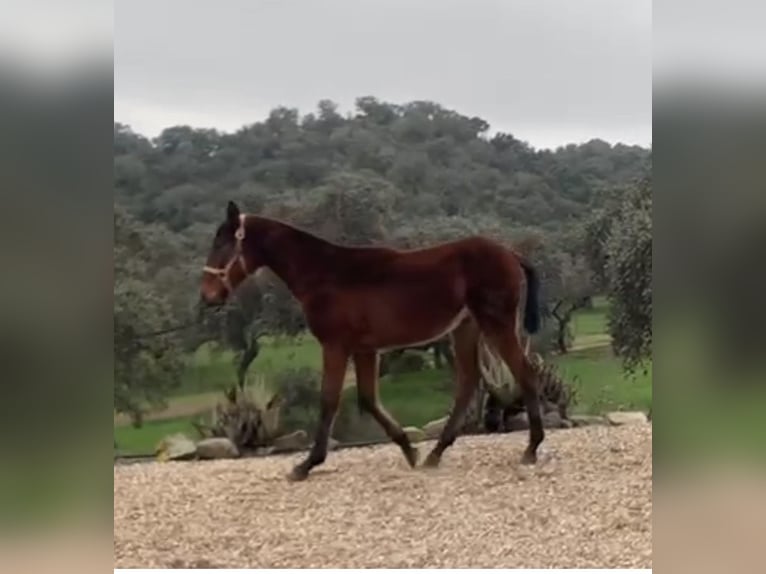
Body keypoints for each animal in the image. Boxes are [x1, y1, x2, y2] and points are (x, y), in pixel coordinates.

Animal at [200, 201, 543, 481]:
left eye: (223, 243)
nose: (207, 296)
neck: (325, 274)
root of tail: (510, 253)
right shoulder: (365, 350)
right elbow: (367, 398)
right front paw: (410, 450)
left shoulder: (335, 346)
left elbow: (329, 400)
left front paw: (306, 464)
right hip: (466, 328)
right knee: (469, 381)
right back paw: (435, 454)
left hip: (496, 324)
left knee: (523, 373)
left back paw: (531, 448)